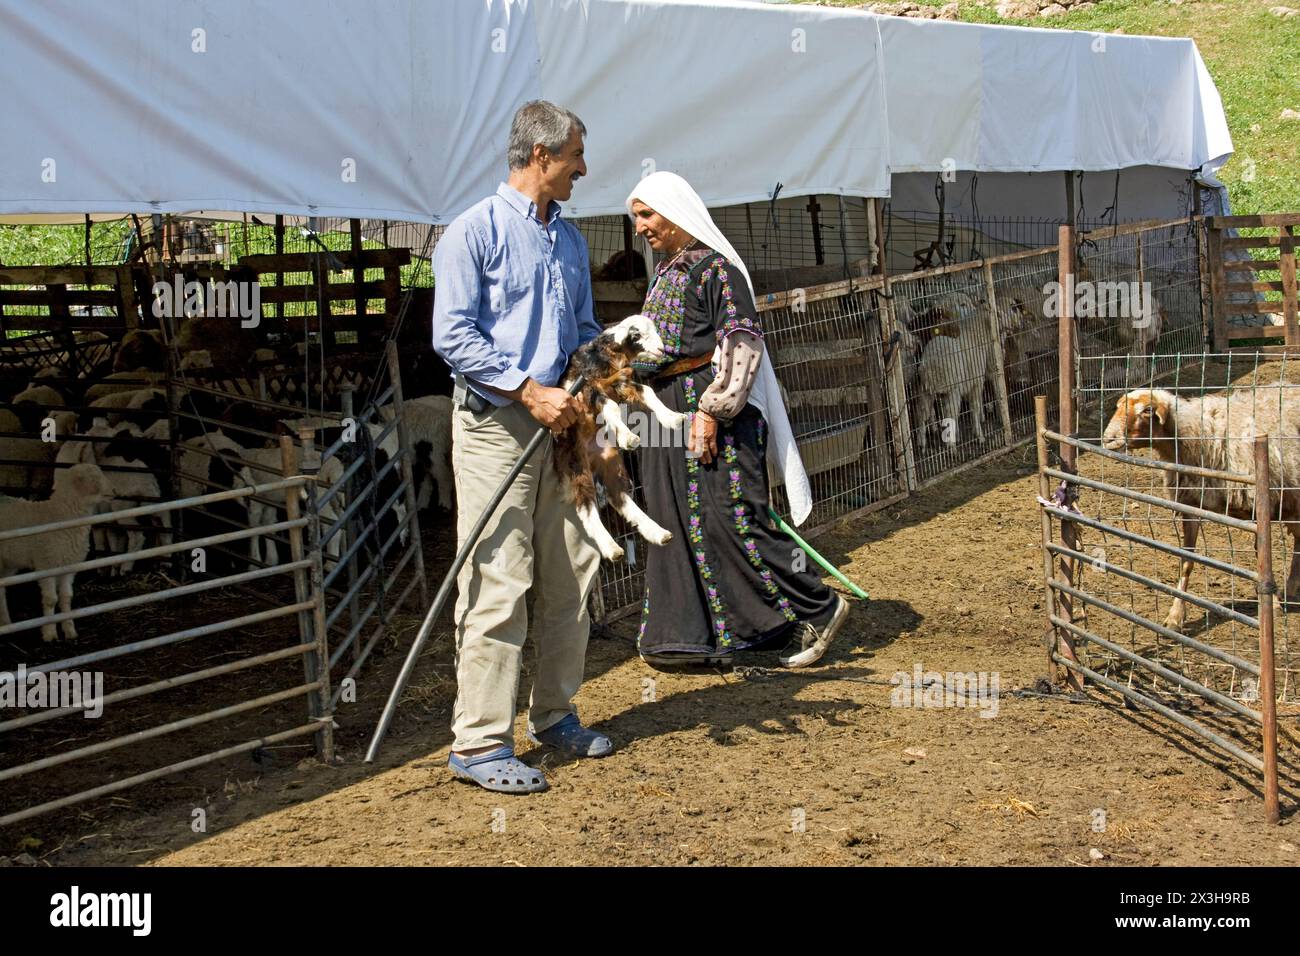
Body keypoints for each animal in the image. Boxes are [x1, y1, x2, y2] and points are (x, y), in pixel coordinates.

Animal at [0, 465, 114, 642]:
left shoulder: (68, 566)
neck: (59, 515)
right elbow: (50, 600)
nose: (114, 492)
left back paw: (6, 624)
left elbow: (66, 597)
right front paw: (49, 634)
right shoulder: (46, 564)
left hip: (9, 562)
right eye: (94, 478)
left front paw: (70, 631)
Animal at [1102, 385, 1300, 632]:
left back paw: (1289, 592)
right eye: (1118, 406)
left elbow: (1261, 557)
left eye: (1147, 410)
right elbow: (1186, 561)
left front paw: (1271, 605)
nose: (1108, 439)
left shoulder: (1257, 506)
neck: (1194, 436)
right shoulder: (1191, 506)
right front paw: (1175, 616)